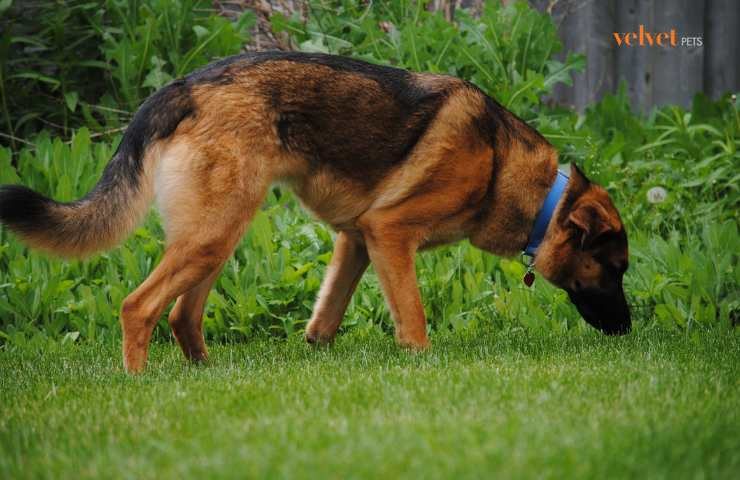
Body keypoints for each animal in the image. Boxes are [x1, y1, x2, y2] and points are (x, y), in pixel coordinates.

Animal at [0, 53, 632, 376]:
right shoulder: (388, 234)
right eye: (616, 269)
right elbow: (415, 323)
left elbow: (325, 321)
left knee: (181, 314)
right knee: (139, 306)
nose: (630, 331)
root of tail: (185, 85)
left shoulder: (357, 241)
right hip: (212, 234)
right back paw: (140, 383)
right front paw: (422, 368)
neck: (517, 178)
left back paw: (205, 375)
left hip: (218, 234)